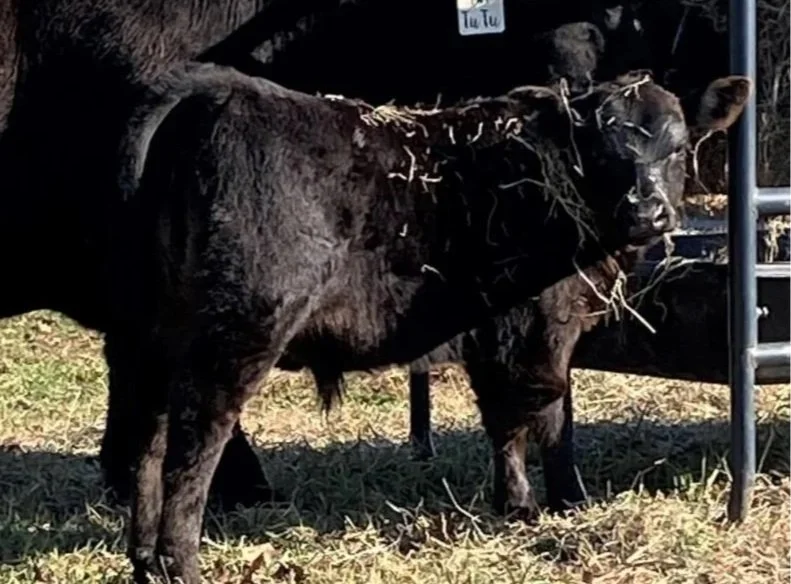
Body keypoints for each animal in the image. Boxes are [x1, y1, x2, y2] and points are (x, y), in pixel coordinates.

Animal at [107, 61, 746, 582]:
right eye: (608, 152)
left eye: (677, 148)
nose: (647, 213)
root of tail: (214, 89)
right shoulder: (540, 326)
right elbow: (545, 415)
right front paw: (560, 502)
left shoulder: (493, 332)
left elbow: (505, 419)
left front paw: (521, 504)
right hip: (235, 334)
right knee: (195, 446)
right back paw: (182, 564)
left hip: (149, 339)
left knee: (146, 441)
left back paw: (143, 561)